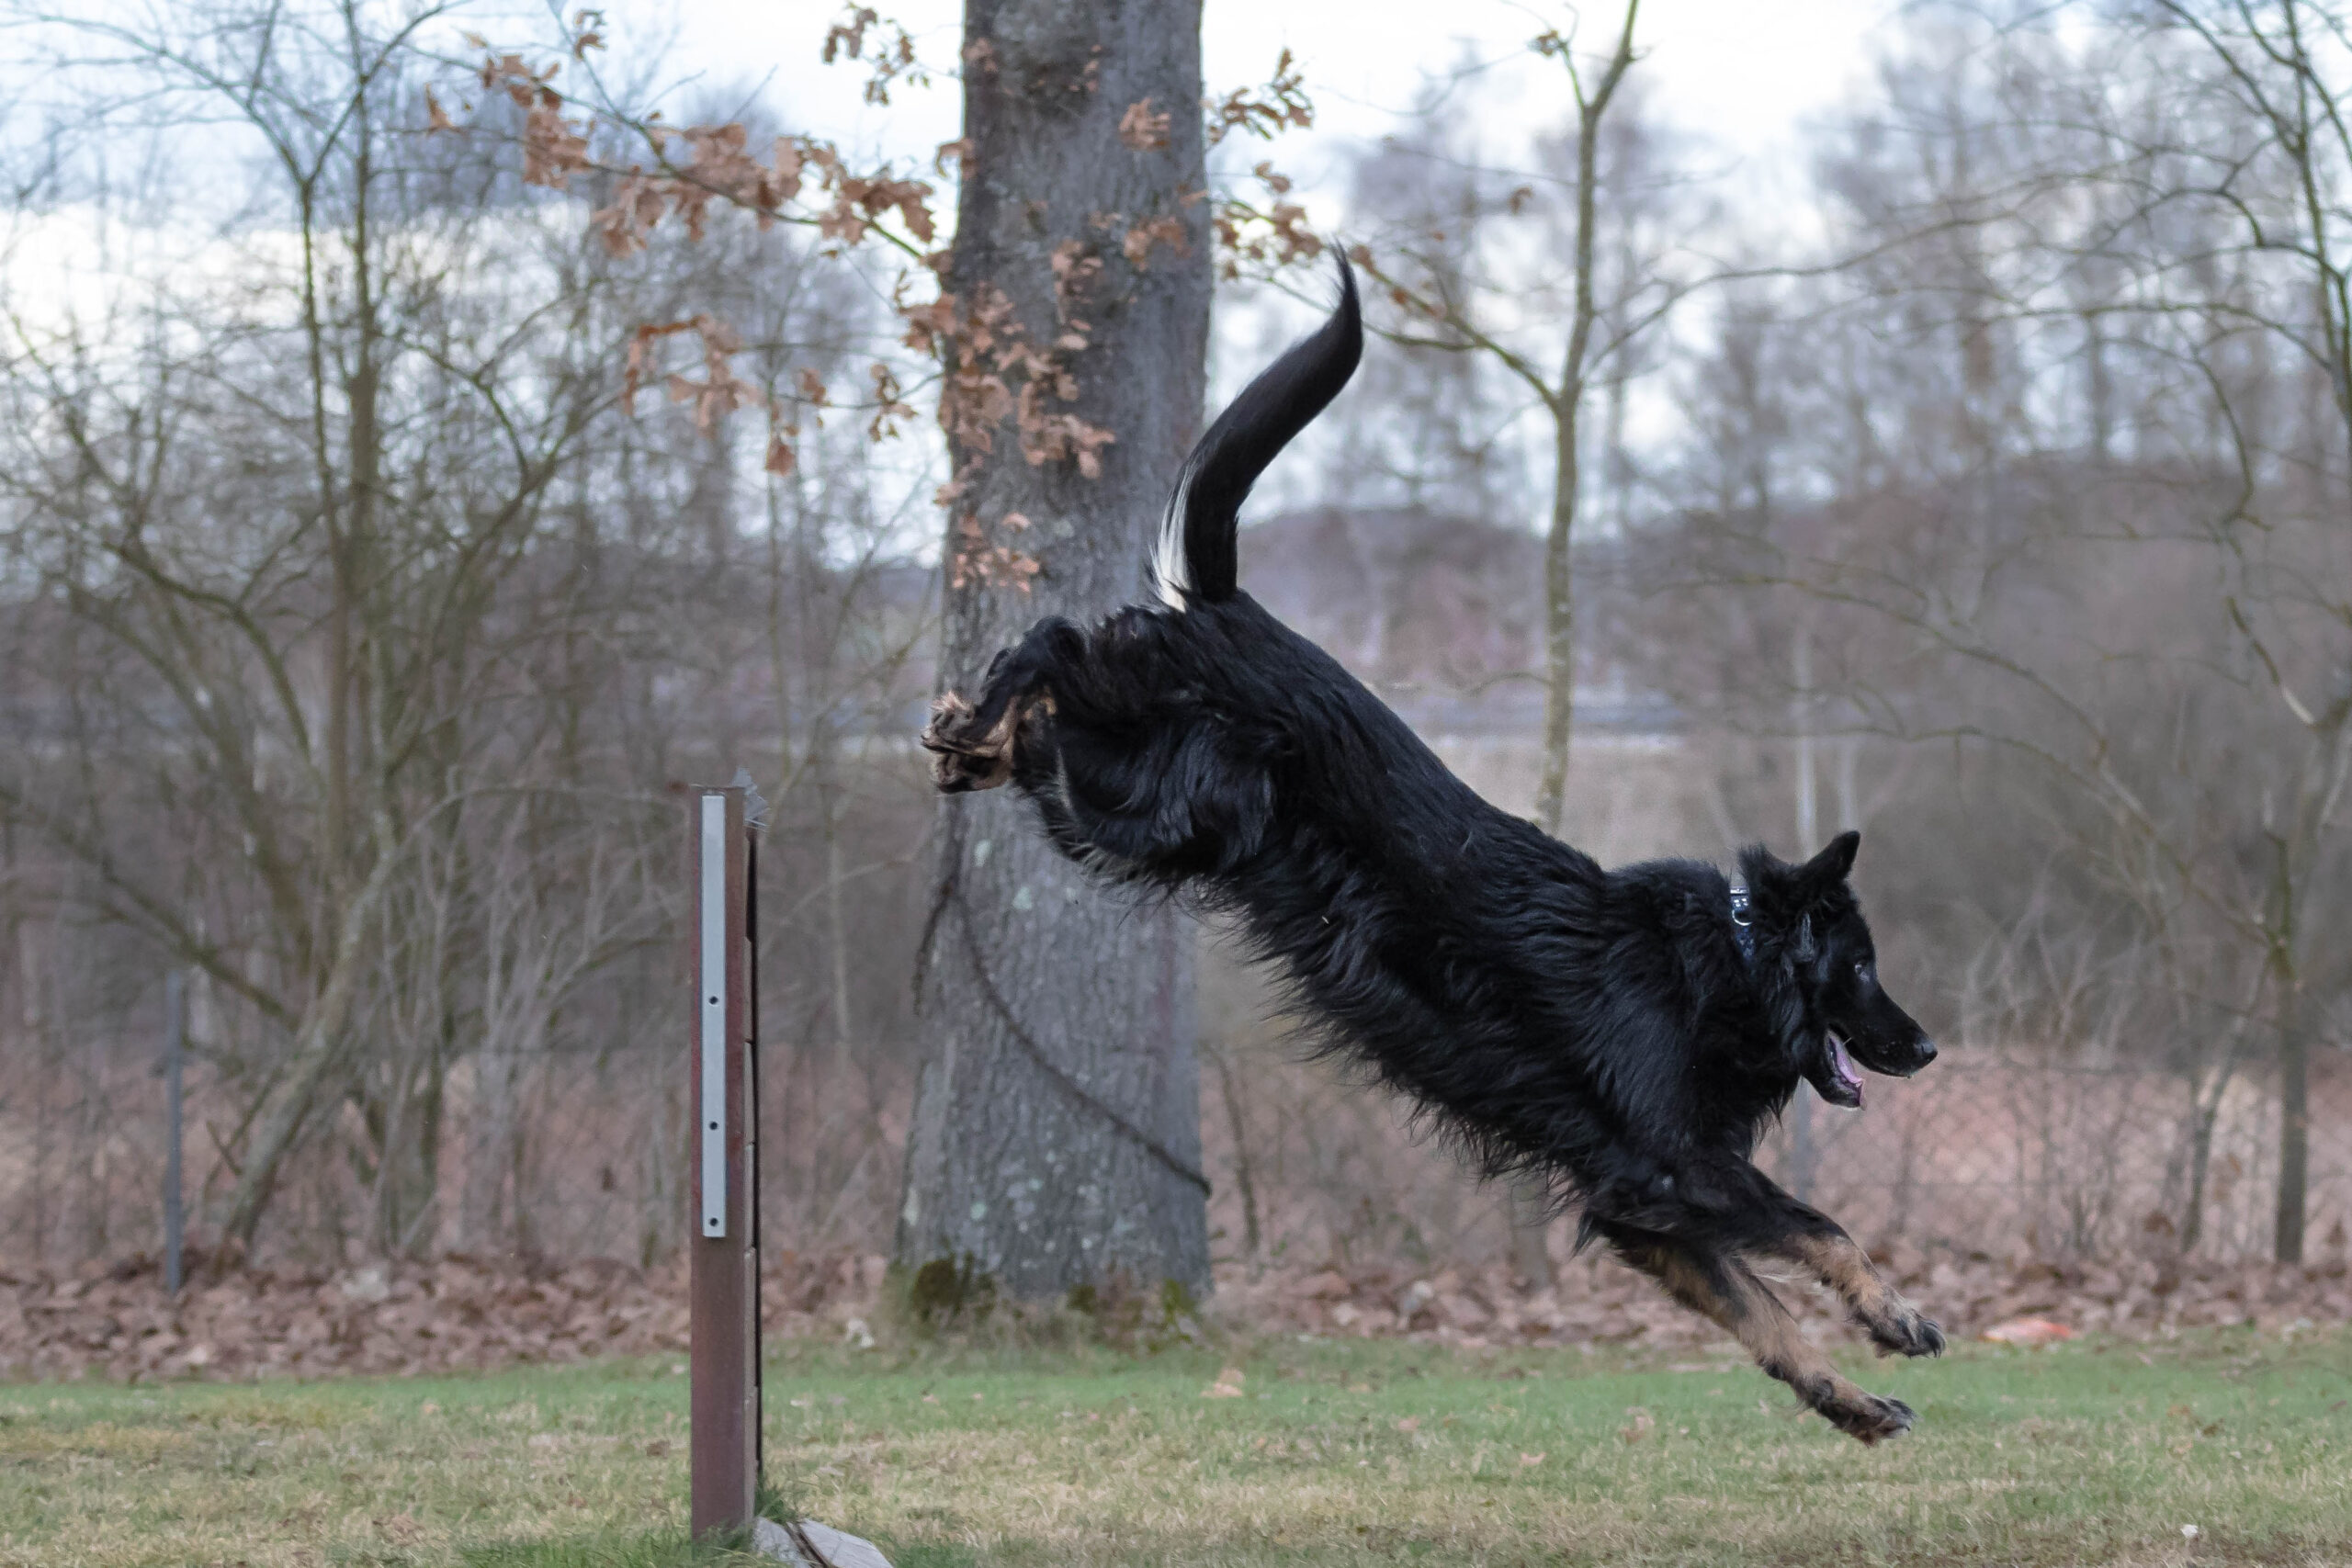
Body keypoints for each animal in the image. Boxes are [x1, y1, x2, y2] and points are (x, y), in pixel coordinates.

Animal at [922, 261, 1947, 1448]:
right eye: (1860, 968)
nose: (1928, 1049)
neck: (1725, 967)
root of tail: (1226, 610)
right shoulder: (1681, 1169)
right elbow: (1825, 1229)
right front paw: (1894, 1316)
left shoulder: (1642, 1209)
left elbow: (1769, 1322)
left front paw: (1851, 1401)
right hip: (1161, 802)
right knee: (1050, 643)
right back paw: (974, 718)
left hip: (1126, 816)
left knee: (1048, 716)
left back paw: (975, 743)